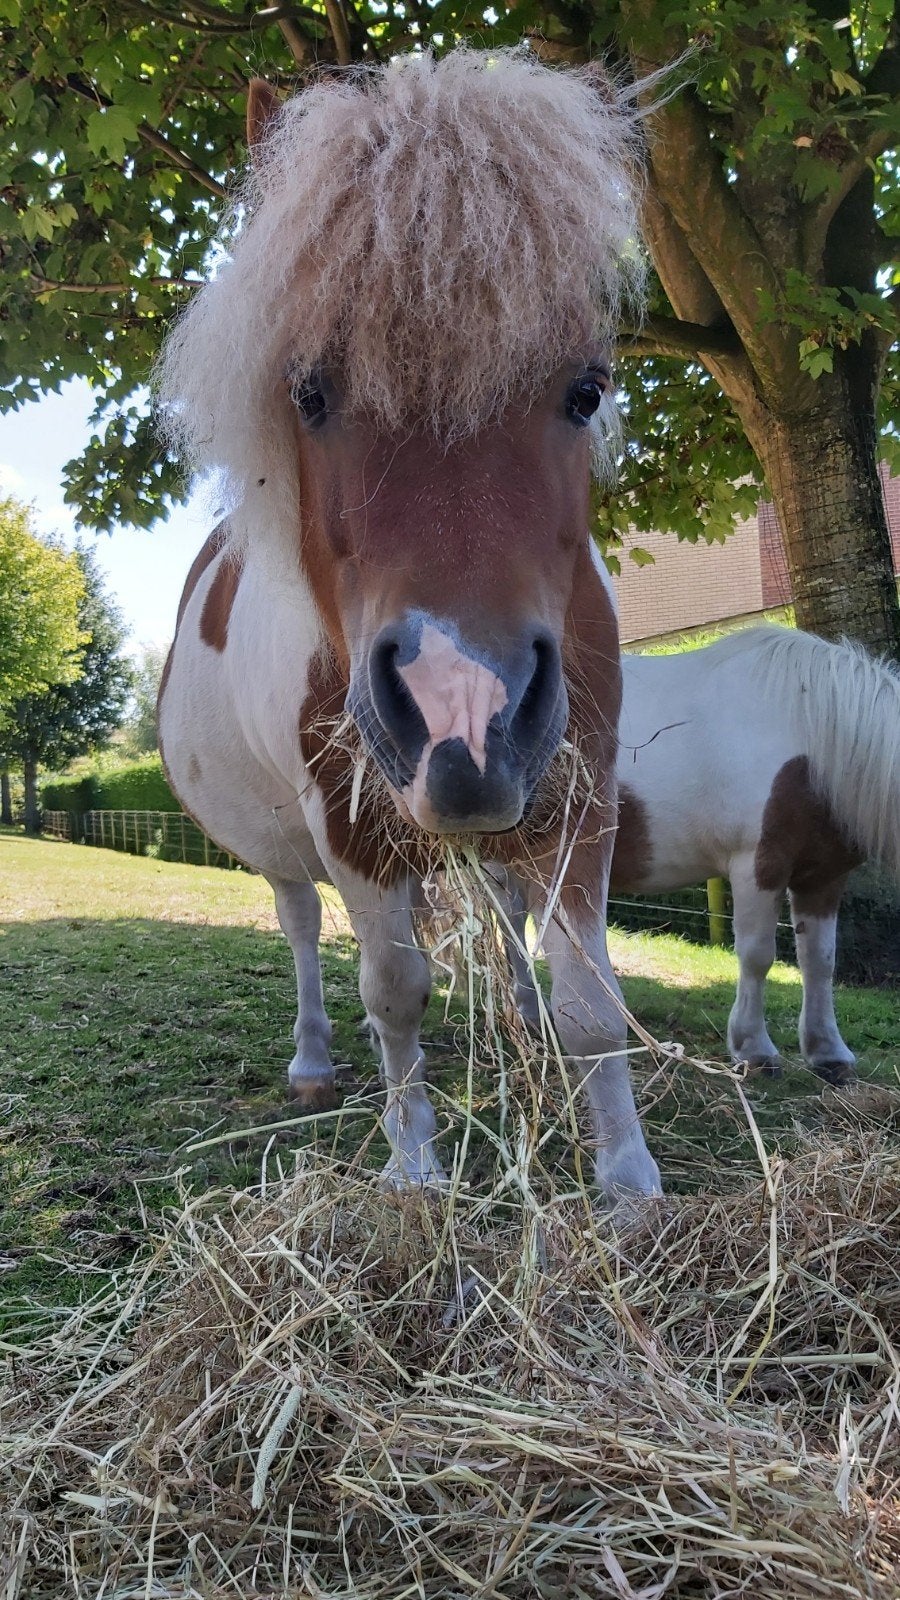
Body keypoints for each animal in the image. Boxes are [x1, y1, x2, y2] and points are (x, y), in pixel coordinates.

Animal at [156, 49, 663, 1199]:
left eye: (586, 390)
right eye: (307, 392)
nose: (459, 709)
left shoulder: (580, 797)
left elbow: (592, 1004)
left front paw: (628, 1182)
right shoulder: (350, 827)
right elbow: (394, 993)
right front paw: (416, 1170)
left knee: (508, 925)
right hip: (286, 844)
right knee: (302, 927)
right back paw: (311, 1059)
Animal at [506, 626, 900, 1082]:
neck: (808, 733)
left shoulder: (823, 876)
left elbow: (820, 960)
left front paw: (828, 1053)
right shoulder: (757, 867)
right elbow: (757, 955)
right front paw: (754, 1048)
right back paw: (529, 1013)